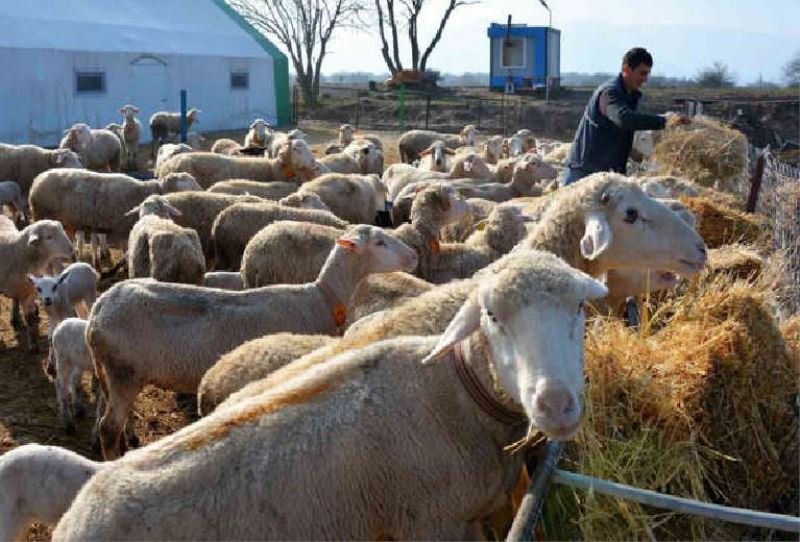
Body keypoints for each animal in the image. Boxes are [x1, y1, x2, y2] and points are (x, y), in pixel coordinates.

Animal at [0, 219, 74, 354]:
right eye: (49, 237)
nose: (71, 249)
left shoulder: (29, 292)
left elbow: (29, 319)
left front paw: (33, 346)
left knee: (15, 299)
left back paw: (15, 318)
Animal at [54, 250, 608, 540]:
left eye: (580, 307)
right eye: (491, 316)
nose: (556, 405)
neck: (456, 396)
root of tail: (75, 518)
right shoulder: (432, 524)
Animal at [83, 224, 416, 460]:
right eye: (379, 242)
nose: (414, 256)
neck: (323, 297)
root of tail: (99, 309)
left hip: (113, 370)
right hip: (124, 371)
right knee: (108, 428)